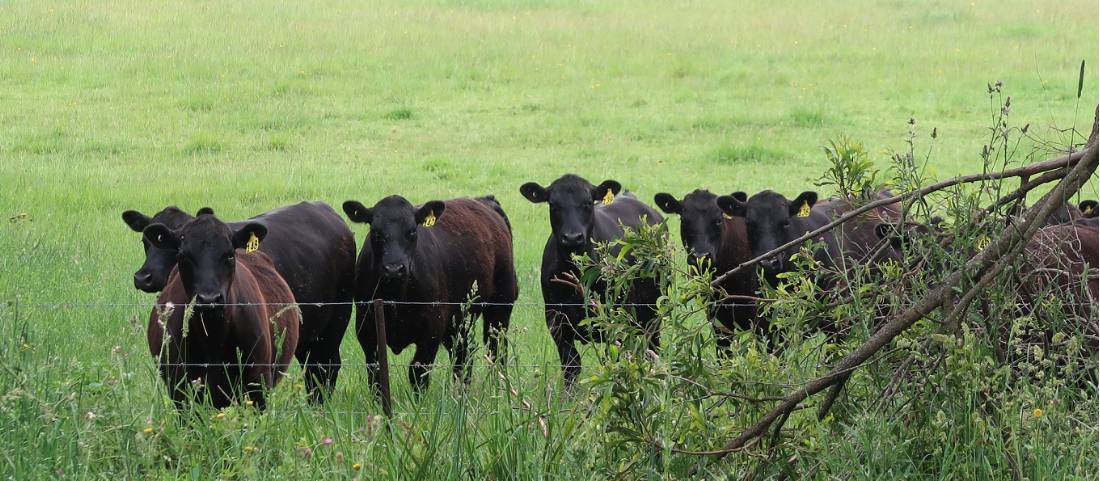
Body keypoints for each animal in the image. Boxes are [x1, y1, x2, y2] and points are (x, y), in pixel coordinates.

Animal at [341, 193, 517, 389]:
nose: (394, 268)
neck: (396, 297)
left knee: (497, 350)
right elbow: (376, 377)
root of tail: (485, 200)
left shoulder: (431, 331)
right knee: (464, 355)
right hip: (459, 320)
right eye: (376, 233)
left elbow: (418, 374)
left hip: (500, 307)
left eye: (411, 232)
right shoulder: (367, 332)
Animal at [517, 173, 660, 385]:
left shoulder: (616, 320)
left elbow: (613, 361)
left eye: (587, 203)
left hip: (654, 313)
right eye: (554, 205)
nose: (572, 237)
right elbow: (571, 365)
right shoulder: (556, 320)